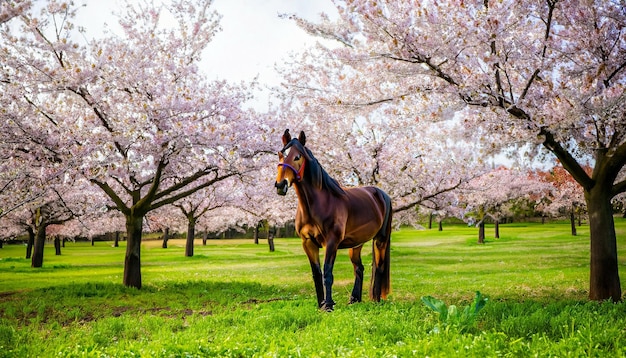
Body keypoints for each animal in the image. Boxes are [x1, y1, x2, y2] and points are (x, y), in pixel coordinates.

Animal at [272, 129, 390, 310]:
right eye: (280, 154)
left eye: (298, 156)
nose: (280, 185)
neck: (320, 203)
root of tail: (381, 194)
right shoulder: (308, 242)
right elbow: (317, 274)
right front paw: (320, 305)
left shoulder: (331, 242)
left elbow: (327, 272)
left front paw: (328, 305)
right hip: (356, 244)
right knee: (359, 268)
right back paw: (355, 299)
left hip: (380, 240)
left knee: (380, 268)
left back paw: (376, 300)